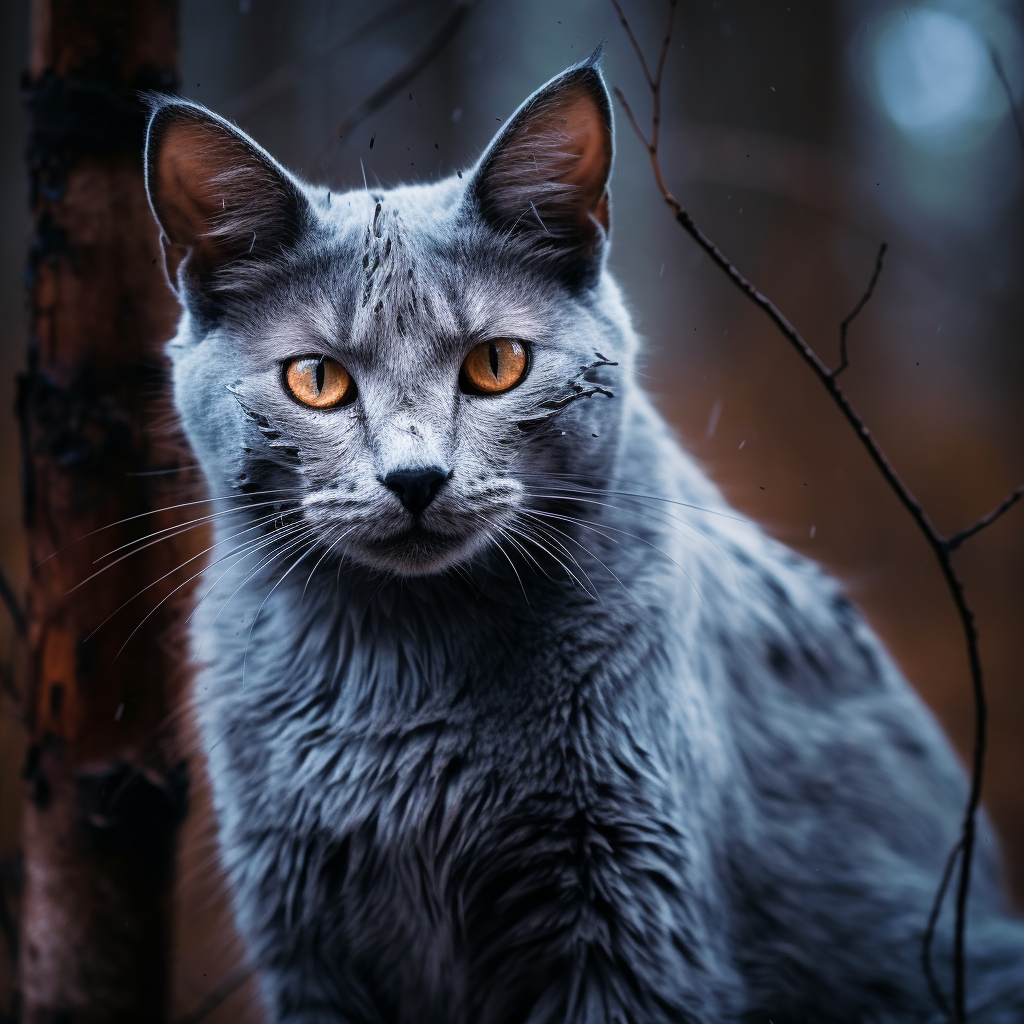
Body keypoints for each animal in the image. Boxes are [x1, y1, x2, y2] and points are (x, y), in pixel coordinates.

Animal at [146, 58, 1024, 1024]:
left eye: (497, 365)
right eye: (317, 379)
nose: (415, 479)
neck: (404, 674)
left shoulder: (627, 925)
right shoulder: (308, 947)